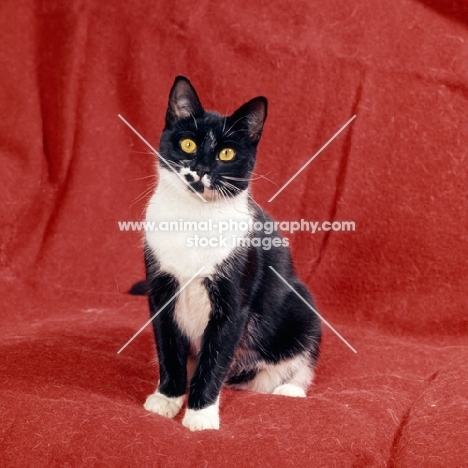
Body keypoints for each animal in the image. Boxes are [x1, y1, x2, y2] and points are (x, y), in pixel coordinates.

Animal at [143, 76, 322, 432]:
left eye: (226, 152)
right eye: (188, 145)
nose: (199, 170)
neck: (193, 219)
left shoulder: (234, 301)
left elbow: (214, 357)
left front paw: (200, 414)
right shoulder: (160, 289)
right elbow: (168, 347)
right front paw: (168, 398)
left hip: (302, 304)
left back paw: (290, 389)